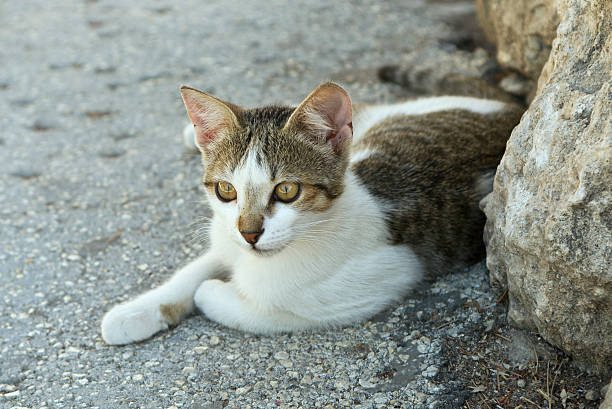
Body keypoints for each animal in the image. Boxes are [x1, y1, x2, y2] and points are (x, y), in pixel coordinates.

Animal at [100, 81, 520, 342]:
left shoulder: (384, 278)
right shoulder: (225, 235)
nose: (250, 233)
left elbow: (249, 307)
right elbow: (193, 271)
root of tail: (510, 110)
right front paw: (134, 313)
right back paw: (196, 131)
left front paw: (212, 292)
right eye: (226, 190)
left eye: (287, 190)